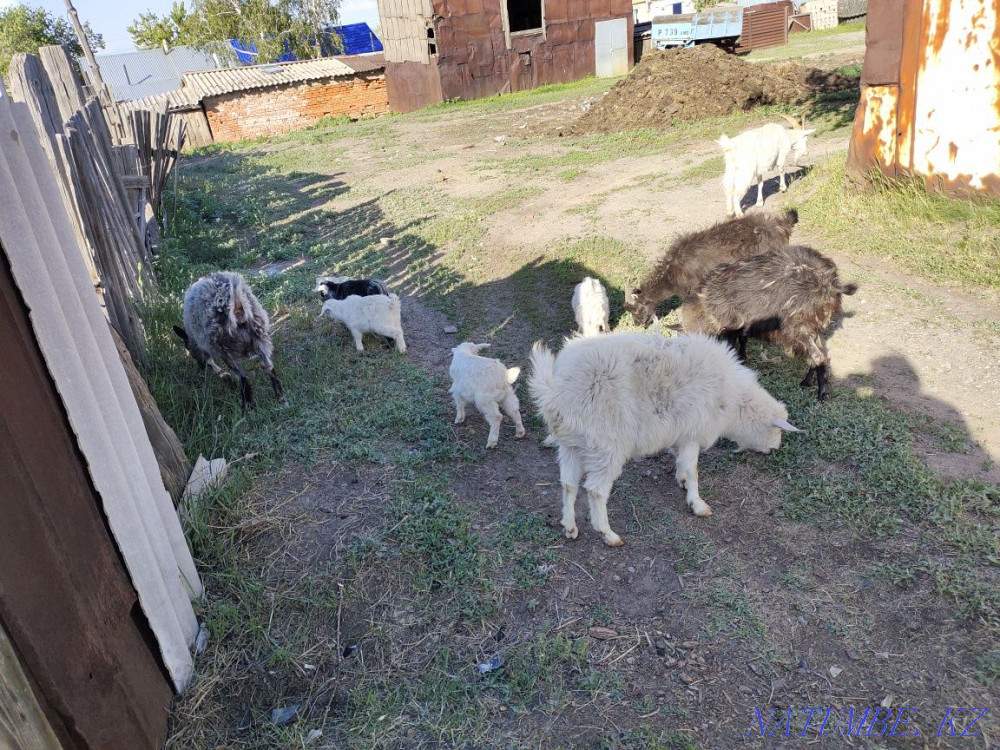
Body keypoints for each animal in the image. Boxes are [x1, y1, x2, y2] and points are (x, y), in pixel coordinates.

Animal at [173, 271, 285, 409]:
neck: (192, 337)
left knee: (242, 376)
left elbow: (210, 361)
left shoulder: (207, 344)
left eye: (187, 348)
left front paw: (226, 377)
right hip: (259, 333)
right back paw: (281, 399)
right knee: (269, 367)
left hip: (222, 344)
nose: (201, 367)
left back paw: (247, 405)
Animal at [529, 333, 799, 546]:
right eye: (777, 431)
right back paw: (608, 534)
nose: (774, 449)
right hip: (606, 446)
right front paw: (697, 504)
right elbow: (692, 469)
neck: (734, 399)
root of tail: (556, 393)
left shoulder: (681, 432)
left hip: (572, 444)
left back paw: (570, 527)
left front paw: (681, 481)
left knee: (568, 484)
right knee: (596, 490)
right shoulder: (693, 432)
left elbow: (680, 461)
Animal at [679, 244, 858, 401]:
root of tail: (831, 283)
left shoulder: (731, 324)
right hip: (814, 327)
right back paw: (807, 383)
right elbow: (743, 339)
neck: (706, 301)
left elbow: (732, 345)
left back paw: (821, 394)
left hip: (800, 328)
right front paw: (743, 358)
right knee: (822, 355)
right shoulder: (744, 322)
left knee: (819, 357)